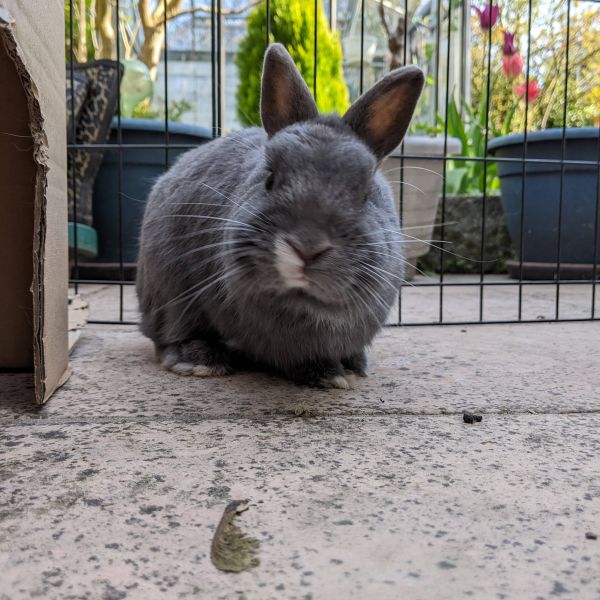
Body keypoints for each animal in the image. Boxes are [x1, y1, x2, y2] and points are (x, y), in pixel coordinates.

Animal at [138, 43, 424, 390]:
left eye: (366, 191)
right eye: (270, 177)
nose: (306, 247)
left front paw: (348, 369)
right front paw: (329, 375)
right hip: (167, 289)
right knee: (168, 333)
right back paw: (199, 361)